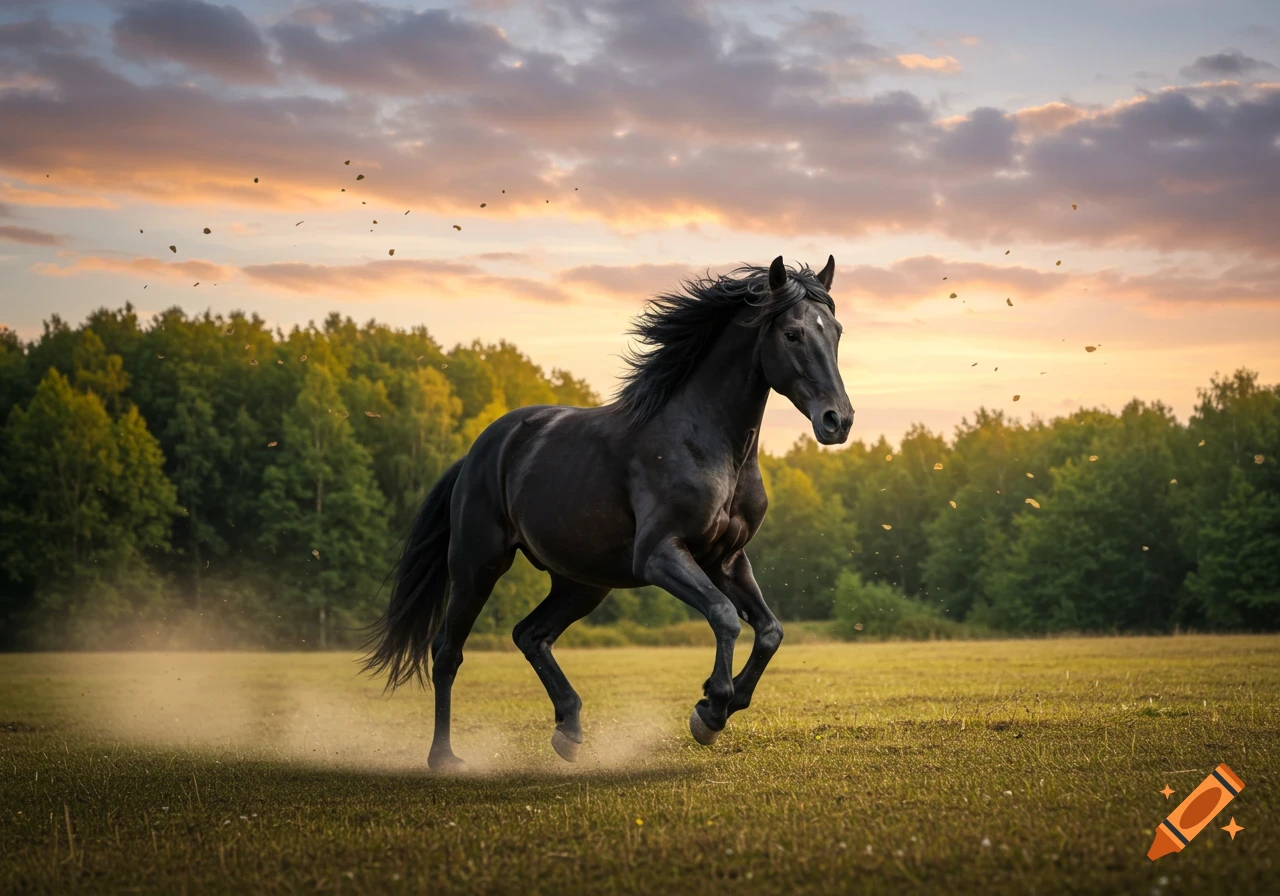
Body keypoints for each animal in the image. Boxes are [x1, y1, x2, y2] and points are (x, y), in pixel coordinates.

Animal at [362, 255, 853, 770]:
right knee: (447, 652)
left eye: (836, 331)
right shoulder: (659, 556)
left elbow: (770, 631)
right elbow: (723, 616)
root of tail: (482, 449)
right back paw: (445, 757)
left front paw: (720, 704)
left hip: (582, 582)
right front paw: (710, 709)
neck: (707, 442)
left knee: (530, 634)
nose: (837, 421)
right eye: (793, 334)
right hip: (477, 566)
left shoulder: (727, 560)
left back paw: (569, 729)